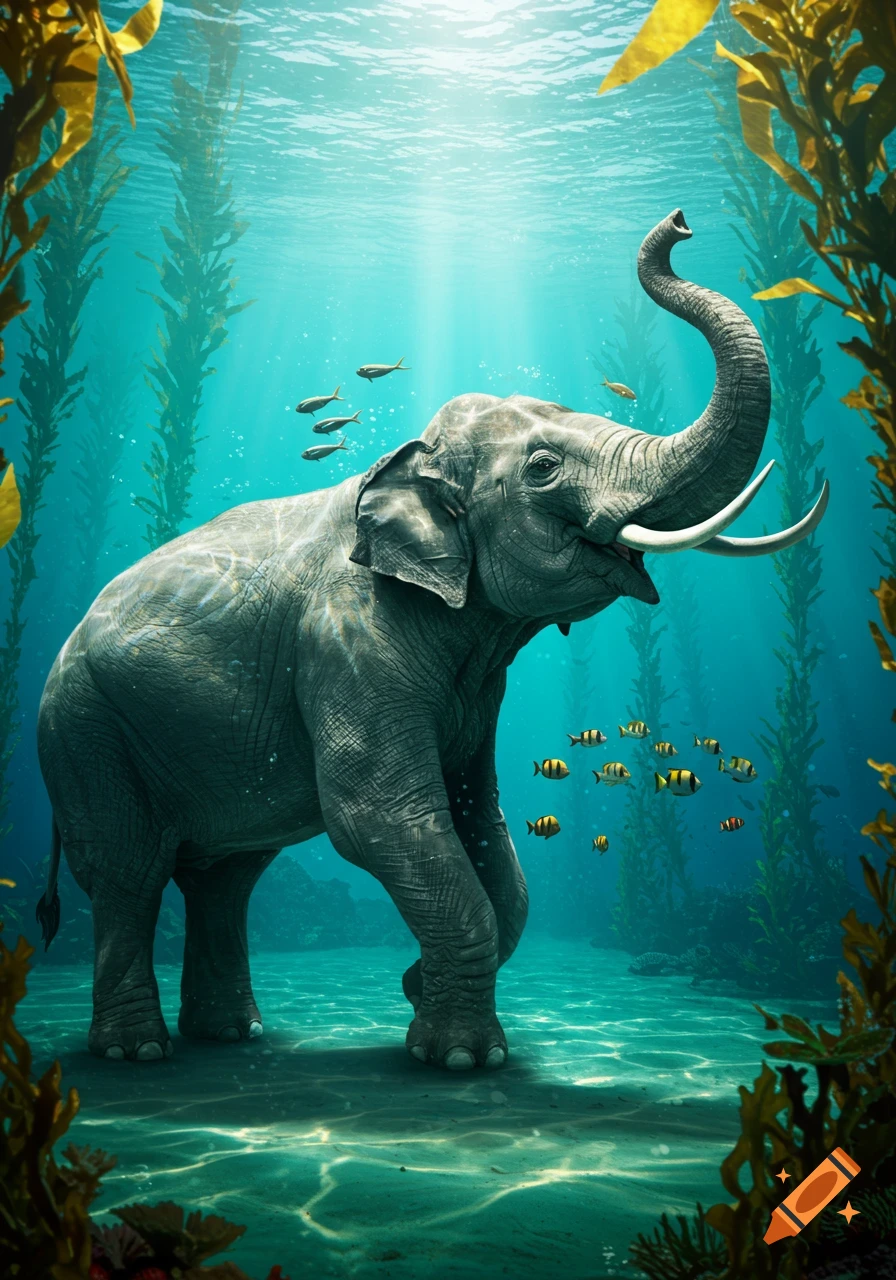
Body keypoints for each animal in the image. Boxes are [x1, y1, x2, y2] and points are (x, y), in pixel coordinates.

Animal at [35, 209, 828, 1069]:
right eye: (543, 467)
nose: (679, 225)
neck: (403, 462)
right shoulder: (348, 641)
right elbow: (380, 816)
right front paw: (462, 1059)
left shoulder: (476, 690)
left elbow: (486, 829)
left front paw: (422, 995)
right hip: (84, 730)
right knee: (128, 872)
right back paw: (138, 1052)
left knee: (226, 876)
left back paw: (231, 1036)